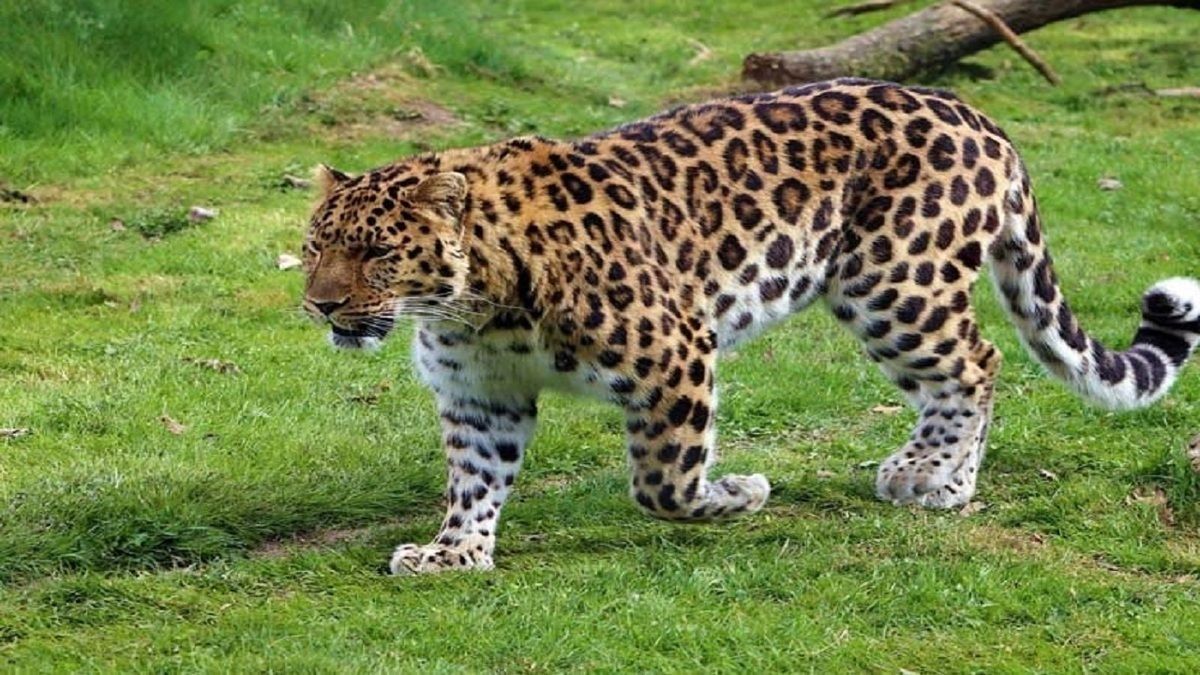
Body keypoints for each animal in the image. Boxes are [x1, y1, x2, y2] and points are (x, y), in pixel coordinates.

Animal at [302, 78, 1200, 571]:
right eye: (314, 247)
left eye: (377, 252)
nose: (321, 303)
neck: (474, 306)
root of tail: (976, 114)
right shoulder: (481, 396)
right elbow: (474, 480)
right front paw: (454, 553)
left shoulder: (674, 353)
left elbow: (662, 482)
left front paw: (737, 493)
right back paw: (938, 474)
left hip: (893, 282)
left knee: (978, 360)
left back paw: (933, 476)